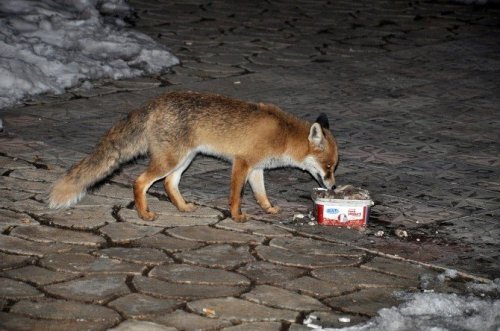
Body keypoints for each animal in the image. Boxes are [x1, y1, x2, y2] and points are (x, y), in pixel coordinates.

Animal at [48, 90, 338, 223]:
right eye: (328, 166)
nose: (333, 187)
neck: (283, 134)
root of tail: (155, 102)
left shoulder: (257, 169)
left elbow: (262, 195)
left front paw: (269, 209)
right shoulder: (242, 164)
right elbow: (236, 196)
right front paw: (236, 216)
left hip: (184, 159)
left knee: (168, 184)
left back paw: (182, 207)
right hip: (172, 160)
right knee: (140, 182)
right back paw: (144, 214)